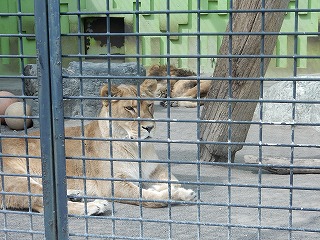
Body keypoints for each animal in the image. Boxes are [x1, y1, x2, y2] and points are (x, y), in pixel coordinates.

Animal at [0, 80, 196, 216]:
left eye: (149, 105)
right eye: (129, 108)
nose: (149, 127)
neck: (135, 146)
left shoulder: (155, 169)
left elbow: (172, 181)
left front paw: (166, 188)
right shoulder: (112, 184)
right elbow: (148, 196)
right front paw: (175, 194)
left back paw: (75, 193)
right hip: (17, 178)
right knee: (42, 203)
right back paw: (94, 206)